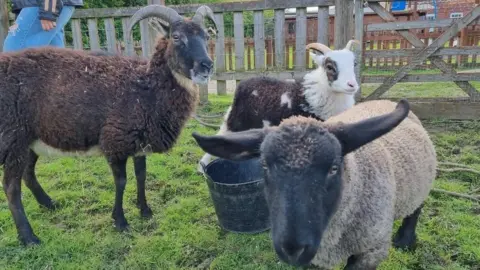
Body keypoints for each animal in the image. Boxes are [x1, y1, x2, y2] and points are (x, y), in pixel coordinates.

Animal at [0, 4, 218, 246]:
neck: (145, 87)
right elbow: (121, 181)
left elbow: (141, 175)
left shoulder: (139, 143)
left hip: (30, 139)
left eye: (207, 36)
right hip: (13, 138)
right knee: (11, 188)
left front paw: (144, 210)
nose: (206, 66)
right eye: (177, 37)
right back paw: (29, 237)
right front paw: (120, 221)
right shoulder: (115, 142)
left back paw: (49, 204)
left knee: (28, 174)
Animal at [192, 99, 438, 270]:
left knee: (416, 208)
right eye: (264, 166)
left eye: (333, 168)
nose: (292, 249)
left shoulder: (370, 251)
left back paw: (405, 240)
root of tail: (384, 100)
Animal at [196, 39, 360, 172]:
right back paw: (202, 167)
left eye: (354, 64)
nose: (352, 85)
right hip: (236, 120)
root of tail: (243, 84)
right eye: (329, 66)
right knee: (221, 135)